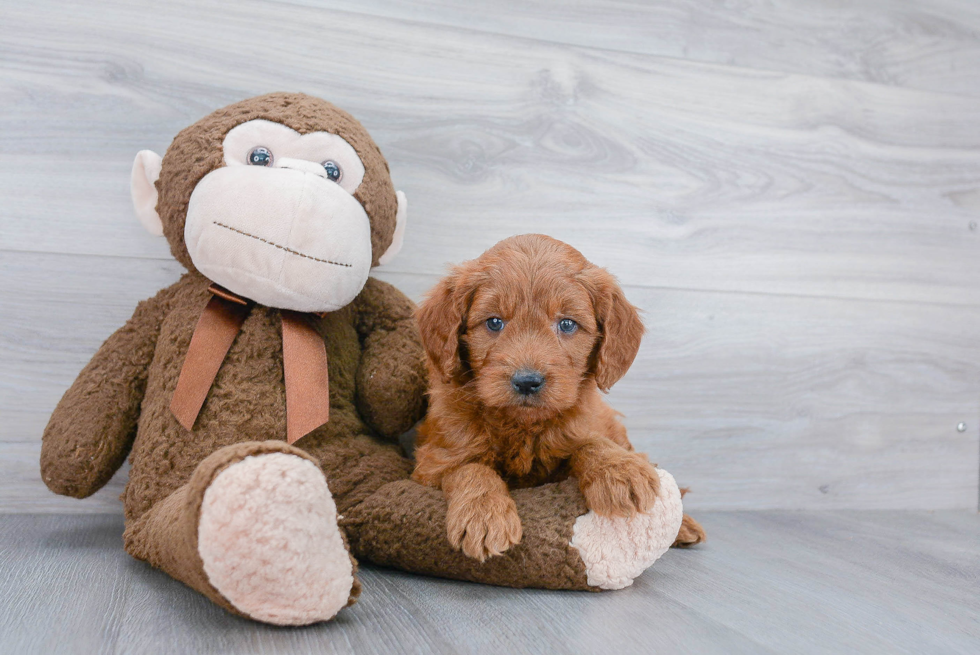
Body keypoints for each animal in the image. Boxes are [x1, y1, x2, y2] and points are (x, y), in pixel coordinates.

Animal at [410, 233, 700, 560]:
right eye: (494, 322)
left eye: (567, 324)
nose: (527, 382)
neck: (522, 426)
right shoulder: (434, 461)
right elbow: (470, 468)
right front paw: (484, 514)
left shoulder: (580, 428)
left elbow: (589, 443)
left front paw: (619, 471)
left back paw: (683, 525)